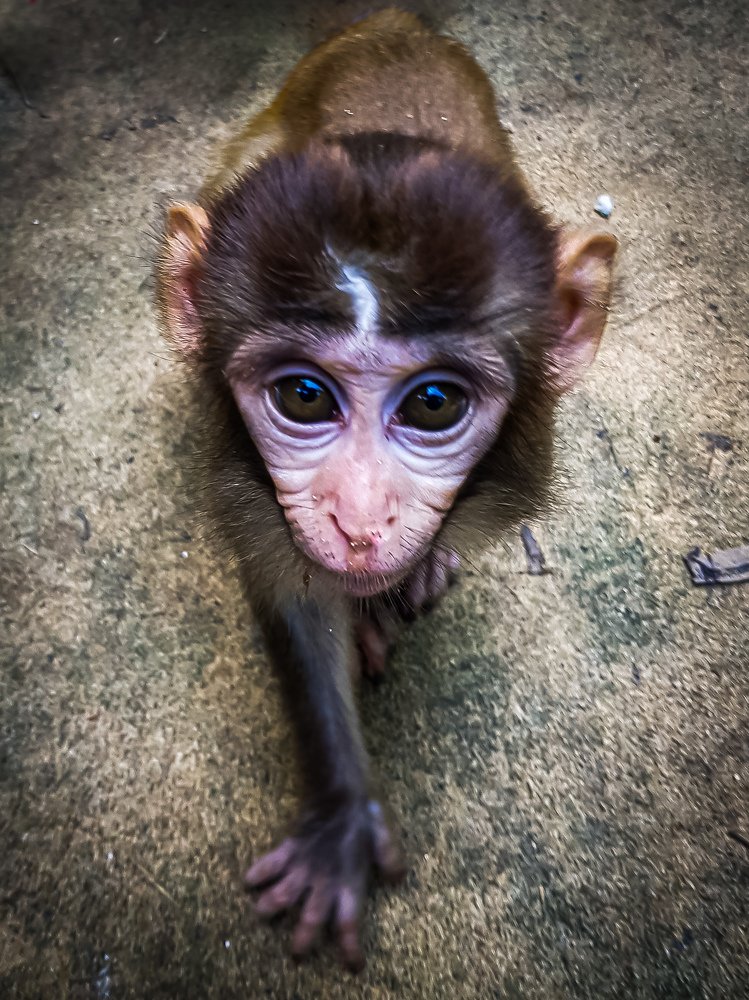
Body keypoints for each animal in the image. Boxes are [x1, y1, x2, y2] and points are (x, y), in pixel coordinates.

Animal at [156, 8, 616, 970]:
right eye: (302, 396)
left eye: (434, 403)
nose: (361, 520)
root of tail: (389, 21)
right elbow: (293, 596)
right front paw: (341, 816)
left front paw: (406, 575)